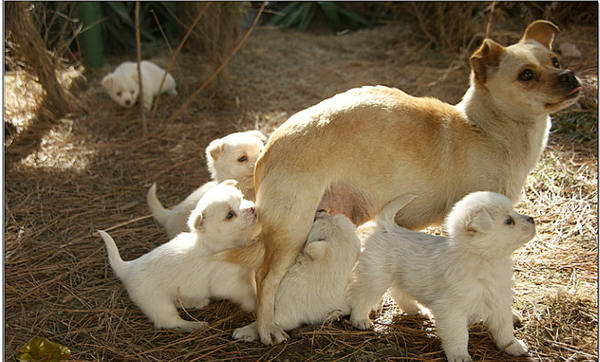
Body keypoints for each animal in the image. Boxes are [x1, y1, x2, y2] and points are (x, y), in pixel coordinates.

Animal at [99, 180, 258, 332]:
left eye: (242, 198)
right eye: (230, 215)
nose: (253, 208)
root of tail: (128, 267)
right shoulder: (226, 283)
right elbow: (245, 292)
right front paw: (253, 304)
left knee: (177, 301)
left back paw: (196, 302)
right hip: (158, 303)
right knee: (170, 322)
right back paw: (193, 325)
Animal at [346, 191, 536, 360]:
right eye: (508, 221)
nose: (532, 219)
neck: (484, 260)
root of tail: (387, 226)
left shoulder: (499, 303)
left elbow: (505, 330)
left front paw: (514, 346)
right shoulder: (452, 311)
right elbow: (459, 336)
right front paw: (460, 356)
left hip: (401, 277)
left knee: (398, 293)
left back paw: (416, 310)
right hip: (375, 278)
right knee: (362, 297)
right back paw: (360, 320)